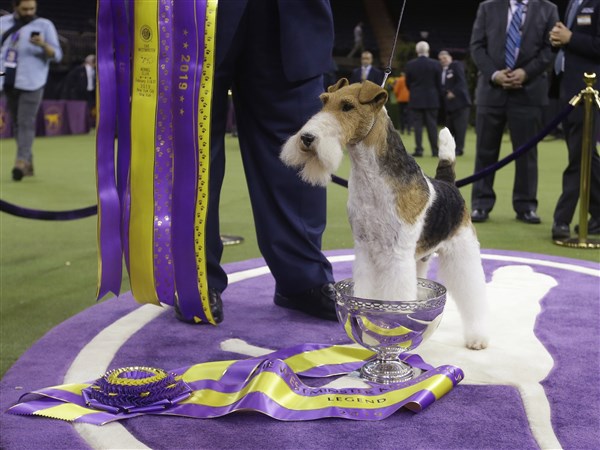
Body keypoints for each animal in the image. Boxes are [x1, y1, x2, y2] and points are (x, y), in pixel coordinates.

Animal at [282, 79, 488, 350]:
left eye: (347, 106)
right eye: (324, 101)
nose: (307, 138)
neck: (370, 178)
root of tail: (448, 184)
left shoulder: (396, 255)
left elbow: (395, 301)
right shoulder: (365, 250)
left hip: (461, 251)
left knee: (473, 293)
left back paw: (477, 338)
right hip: (419, 259)